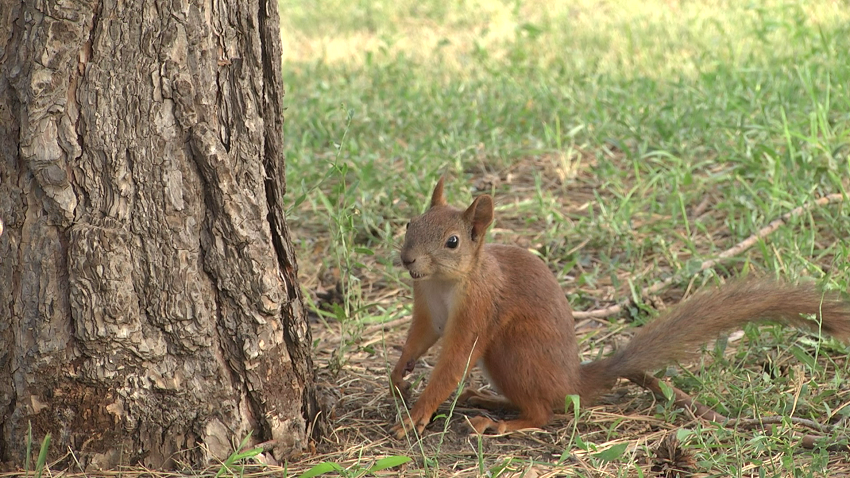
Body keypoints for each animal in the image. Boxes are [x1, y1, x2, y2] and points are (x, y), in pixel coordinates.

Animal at [390, 176, 848, 436]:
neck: (444, 283)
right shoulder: (427, 308)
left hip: (513, 352)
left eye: (452, 242)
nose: (408, 260)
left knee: (545, 410)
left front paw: (417, 414)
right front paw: (399, 375)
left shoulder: (479, 307)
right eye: (410, 222)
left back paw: (503, 422)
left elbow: (454, 359)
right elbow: (421, 337)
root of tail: (573, 379)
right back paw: (488, 400)